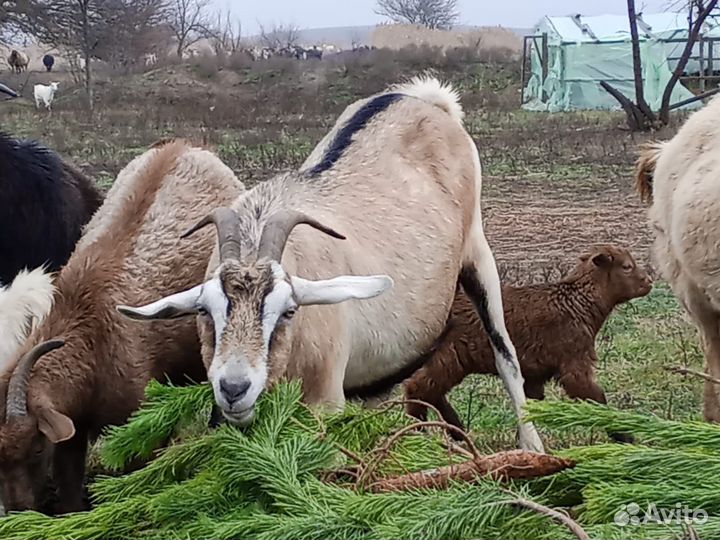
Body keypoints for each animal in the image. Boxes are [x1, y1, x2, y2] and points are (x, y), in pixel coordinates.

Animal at [119, 76, 545, 453]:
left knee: (505, 353)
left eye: (288, 311)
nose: (234, 388)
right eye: (206, 311)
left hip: (479, 257)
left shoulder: (324, 400)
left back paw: (532, 445)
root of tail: (425, 102)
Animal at [404, 245, 652, 438]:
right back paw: (420, 433)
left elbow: (530, 405)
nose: (649, 281)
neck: (578, 304)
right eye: (627, 266)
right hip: (450, 355)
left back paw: (456, 432)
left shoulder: (534, 374)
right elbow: (597, 397)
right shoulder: (574, 361)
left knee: (431, 390)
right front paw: (626, 437)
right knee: (418, 387)